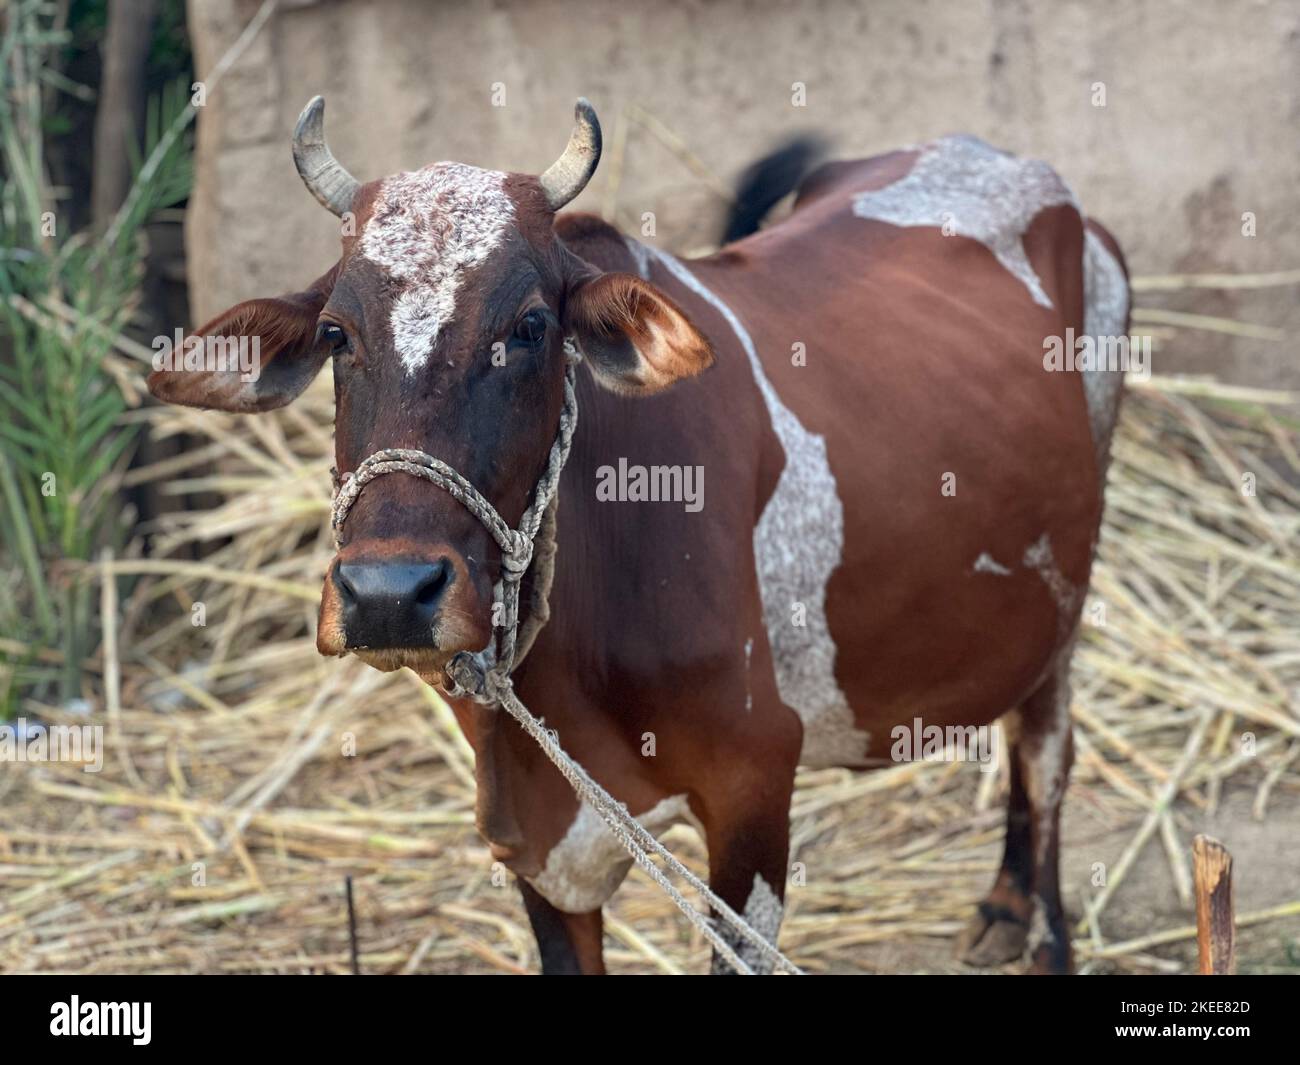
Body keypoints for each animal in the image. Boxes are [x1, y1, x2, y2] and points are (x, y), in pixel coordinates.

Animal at [148, 96, 1129, 975]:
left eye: (530, 325)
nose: (388, 594)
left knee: (1045, 750)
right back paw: (1003, 907)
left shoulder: (753, 789)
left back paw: (1040, 929)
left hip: (1062, 605)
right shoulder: (532, 838)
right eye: (336, 334)